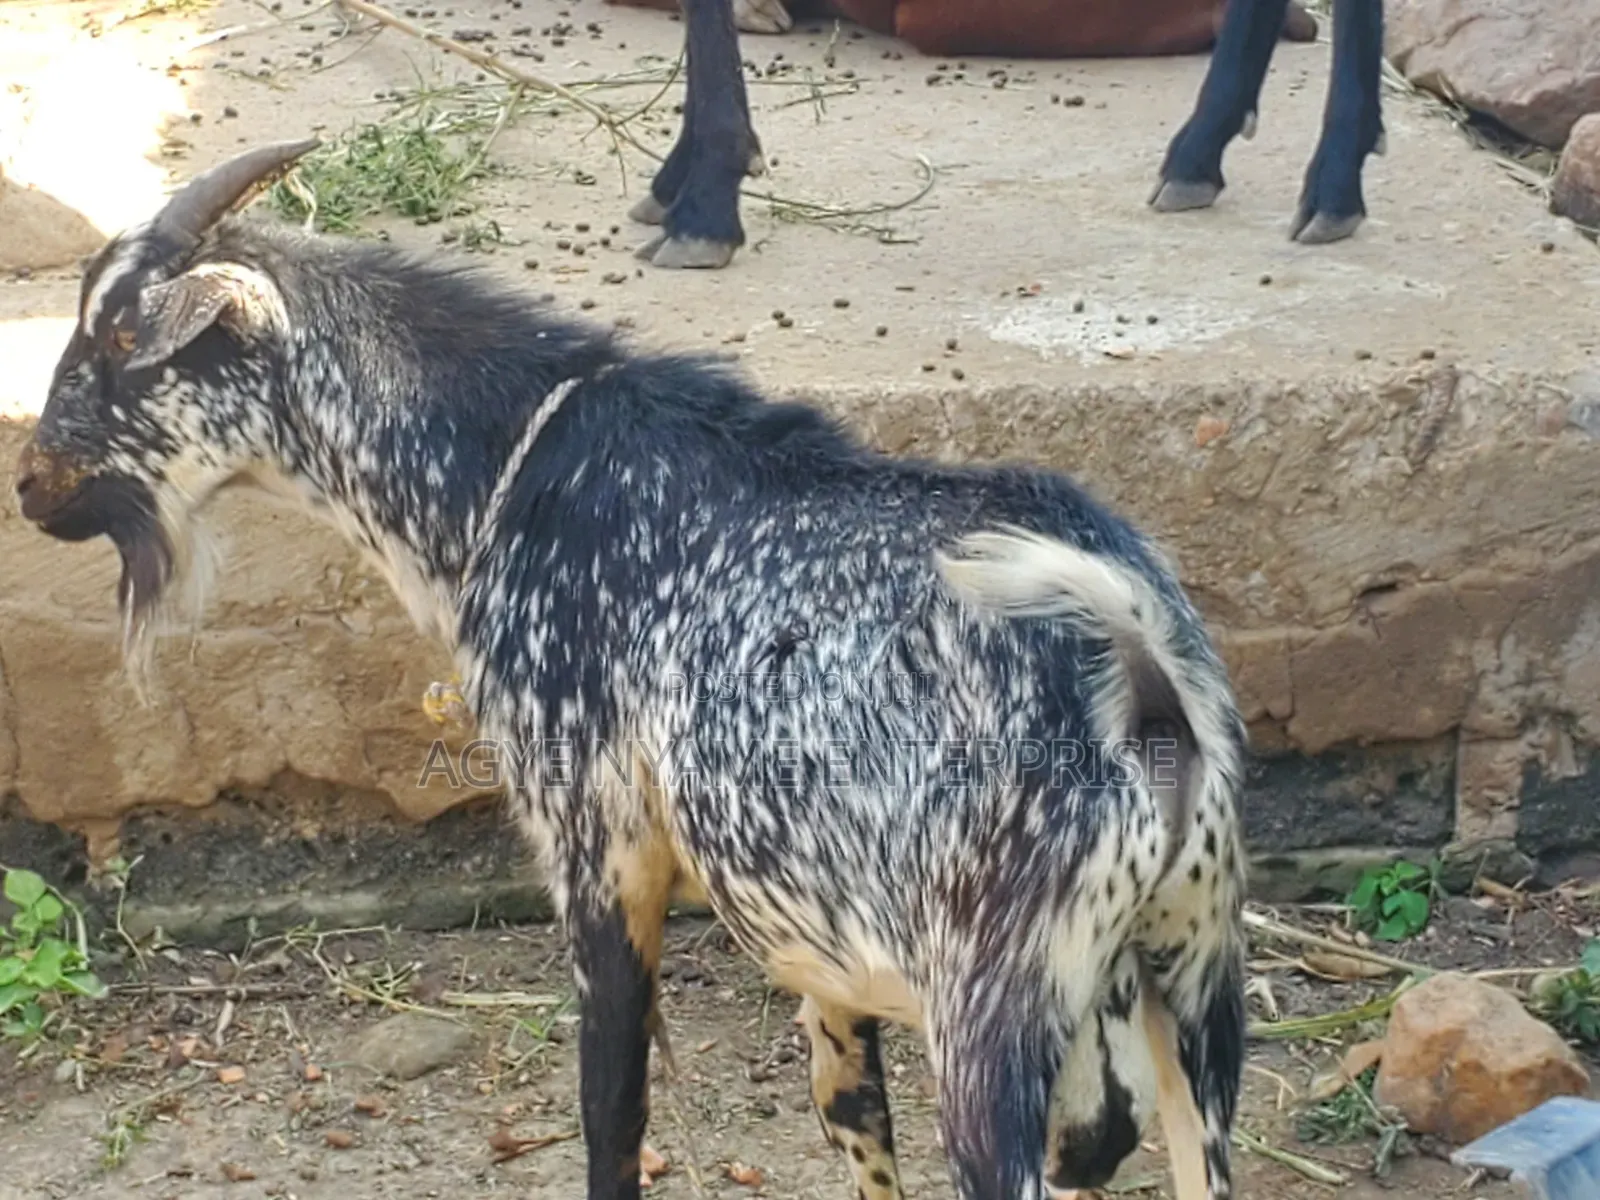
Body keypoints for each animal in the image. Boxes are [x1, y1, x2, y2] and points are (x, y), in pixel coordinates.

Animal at [16, 141, 1249, 1200]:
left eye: (116, 339)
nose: (31, 485)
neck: (508, 471)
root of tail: (1139, 669)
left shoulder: (598, 849)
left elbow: (611, 1112)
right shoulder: (822, 954)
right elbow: (854, 1120)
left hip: (992, 1028)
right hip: (1196, 986)